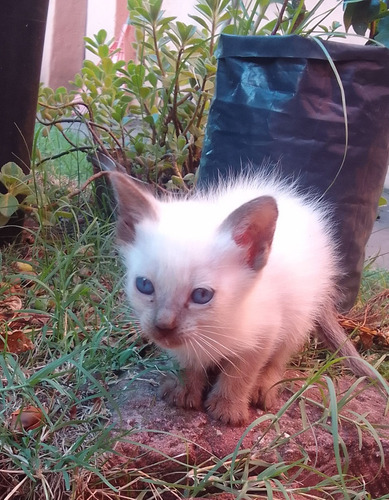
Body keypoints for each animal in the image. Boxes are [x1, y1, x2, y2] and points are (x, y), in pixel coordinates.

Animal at [108, 172, 372, 426]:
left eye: (201, 295)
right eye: (144, 285)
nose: (163, 326)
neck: (213, 329)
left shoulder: (265, 332)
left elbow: (240, 374)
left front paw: (228, 407)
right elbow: (188, 363)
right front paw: (184, 390)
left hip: (300, 312)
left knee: (280, 356)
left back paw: (264, 388)